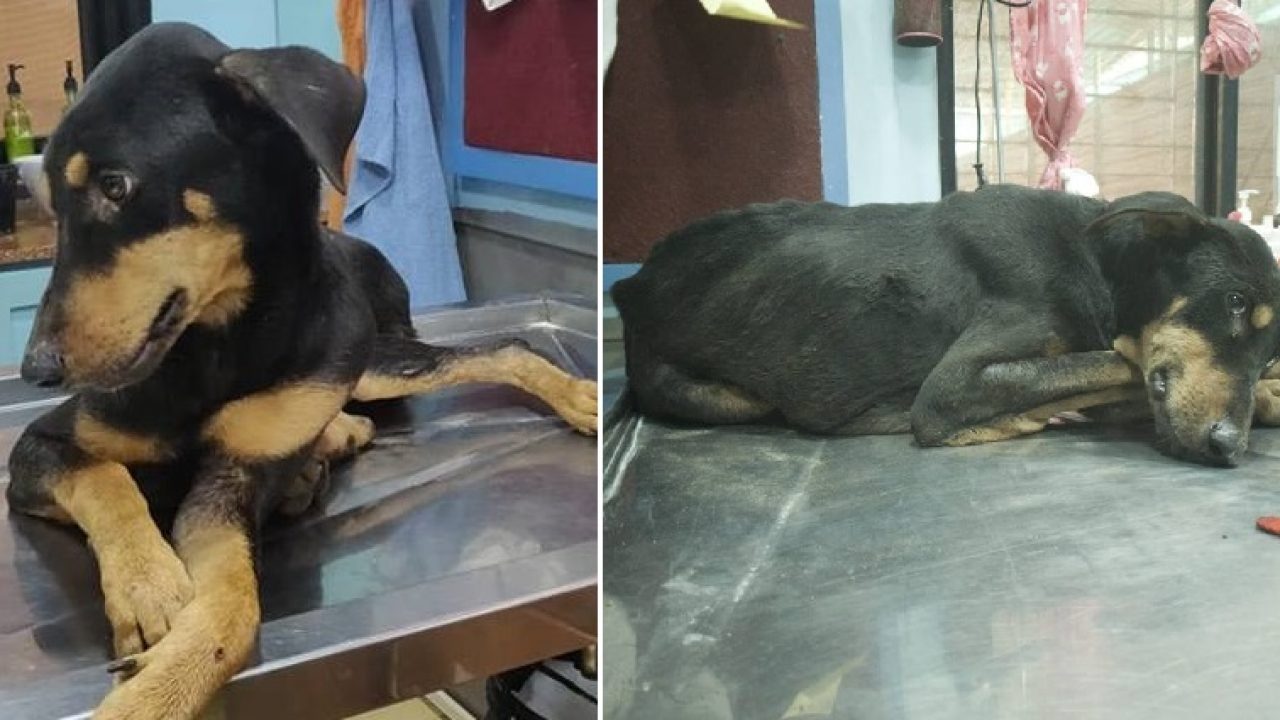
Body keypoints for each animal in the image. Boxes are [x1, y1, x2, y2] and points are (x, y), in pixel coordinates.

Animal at [4, 23, 597, 720]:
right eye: (50, 205)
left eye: (116, 186)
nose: (36, 368)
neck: (216, 345)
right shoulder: (39, 446)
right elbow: (106, 477)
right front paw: (148, 584)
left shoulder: (231, 483)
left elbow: (233, 611)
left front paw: (149, 692)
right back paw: (328, 450)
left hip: (363, 358)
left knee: (502, 346)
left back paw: (576, 397)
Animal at [613, 185, 1280, 467]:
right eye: (1234, 302)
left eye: (1271, 353)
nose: (1228, 448)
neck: (1098, 266)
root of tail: (630, 285)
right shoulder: (952, 387)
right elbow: (1114, 362)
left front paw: (1270, 396)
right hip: (716, 394)